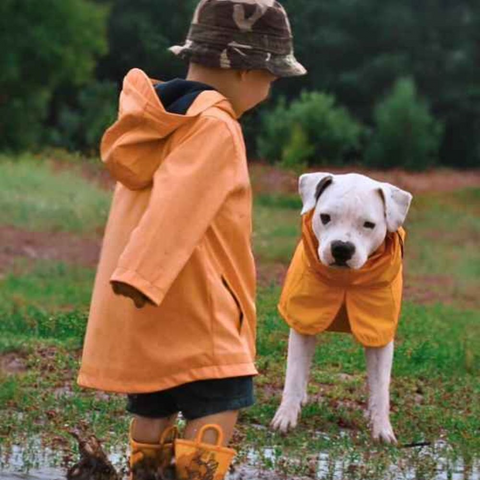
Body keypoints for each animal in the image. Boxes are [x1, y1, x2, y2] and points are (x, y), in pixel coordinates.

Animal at [272, 172, 410, 442]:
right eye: (325, 217)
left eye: (369, 224)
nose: (342, 248)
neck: (346, 280)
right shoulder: (304, 322)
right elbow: (294, 374)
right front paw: (286, 415)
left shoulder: (379, 334)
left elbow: (381, 387)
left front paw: (382, 428)